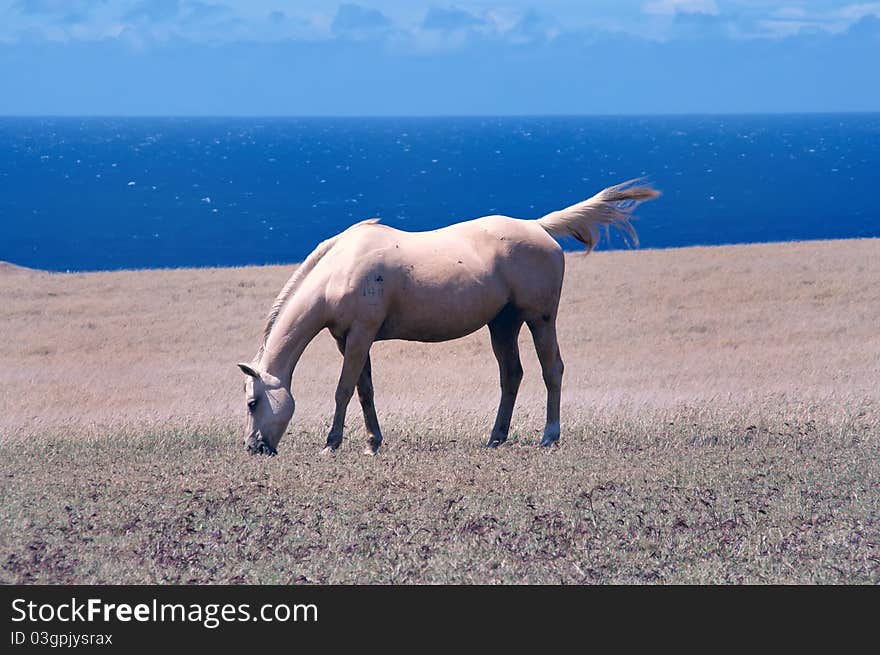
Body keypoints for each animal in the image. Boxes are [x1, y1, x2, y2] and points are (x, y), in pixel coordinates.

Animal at [237, 179, 656, 456]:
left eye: (253, 403)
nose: (254, 447)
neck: (340, 269)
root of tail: (538, 226)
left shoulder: (360, 334)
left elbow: (343, 389)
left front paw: (332, 443)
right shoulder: (350, 339)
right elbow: (364, 389)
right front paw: (374, 443)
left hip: (540, 319)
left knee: (552, 369)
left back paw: (549, 436)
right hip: (503, 324)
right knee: (512, 375)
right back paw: (496, 438)